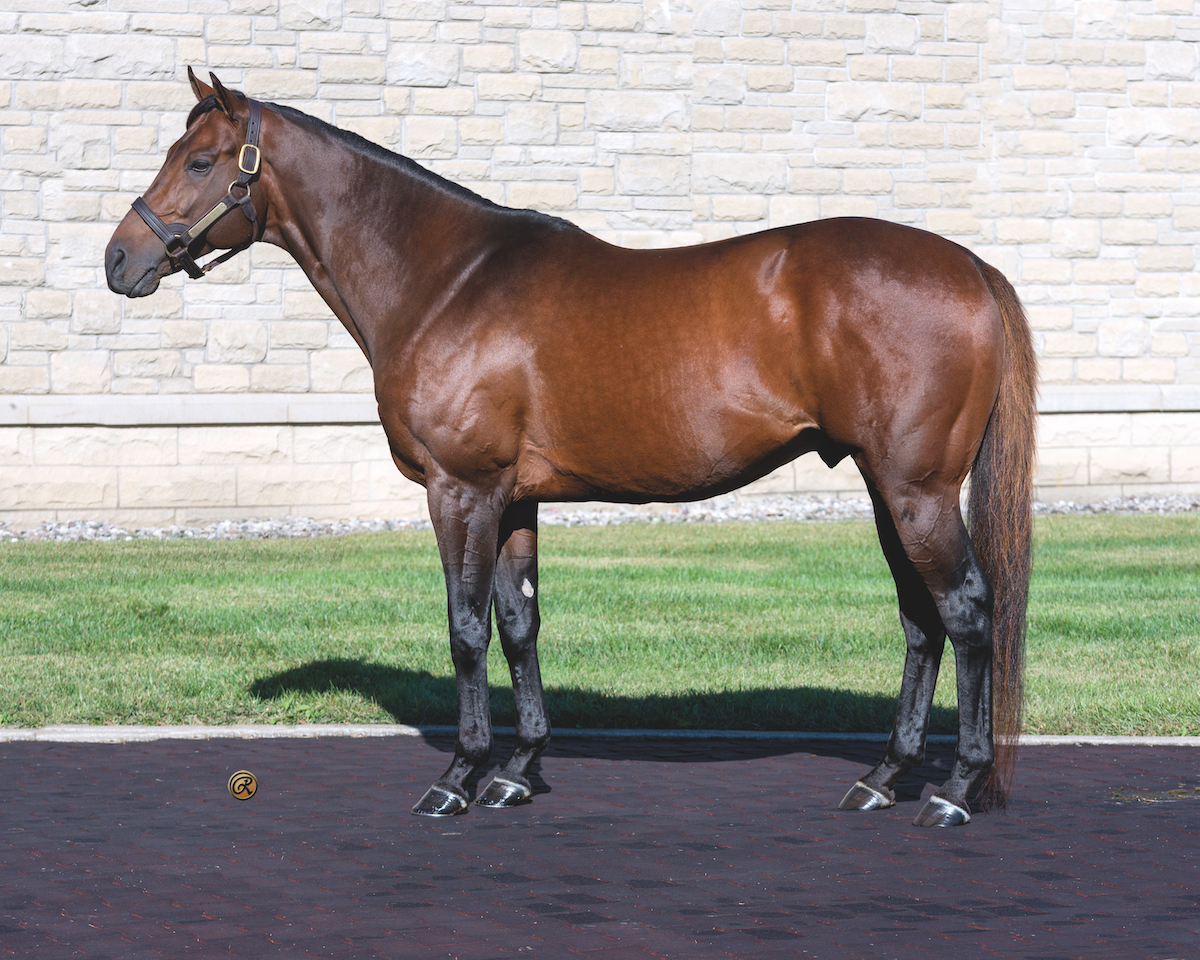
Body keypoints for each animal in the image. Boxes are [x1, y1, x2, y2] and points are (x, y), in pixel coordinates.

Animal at [106, 71, 1037, 828]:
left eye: (200, 161)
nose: (119, 259)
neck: (449, 282)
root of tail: (970, 268)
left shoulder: (459, 489)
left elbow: (465, 629)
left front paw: (458, 777)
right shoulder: (514, 497)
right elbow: (519, 624)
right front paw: (518, 771)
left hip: (916, 490)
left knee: (965, 612)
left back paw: (956, 790)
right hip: (888, 488)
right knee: (921, 620)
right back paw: (883, 779)